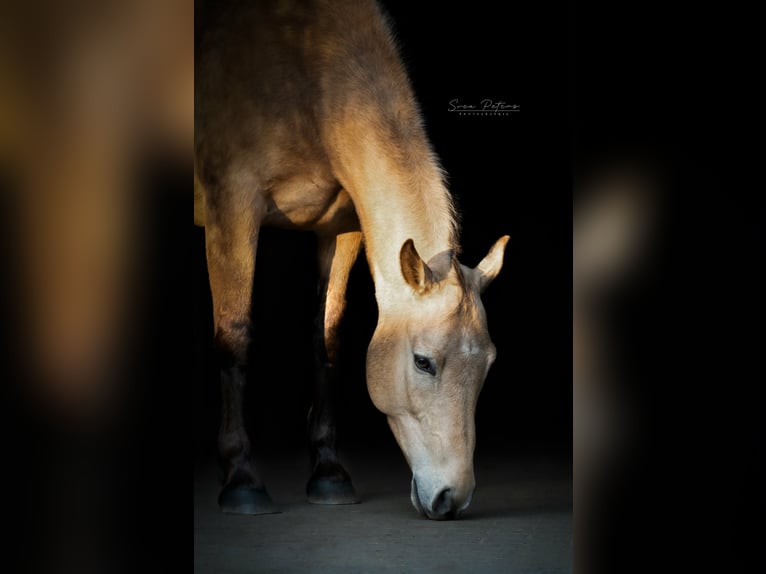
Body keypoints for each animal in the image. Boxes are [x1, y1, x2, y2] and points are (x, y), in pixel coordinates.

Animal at [195, 0, 509, 520]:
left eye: (488, 364)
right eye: (423, 363)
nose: (451, 499)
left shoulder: (340, 228)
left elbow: (327, 338)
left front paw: (328, 474)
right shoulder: (233, 207)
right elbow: (234, 335)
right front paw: (241, 479)